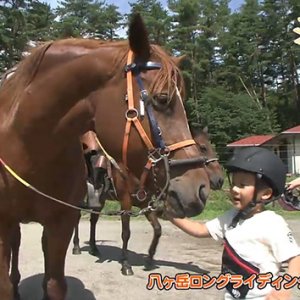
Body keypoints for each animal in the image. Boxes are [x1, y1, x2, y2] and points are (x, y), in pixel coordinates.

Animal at [72, 127, 223, 276]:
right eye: (202, 148)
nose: (220, 180)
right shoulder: (126, 202)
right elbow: (126, 233)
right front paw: (126, 264)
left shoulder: (144, 203)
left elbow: (157, 229)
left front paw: (150, 259)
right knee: (77, 217)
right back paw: (76, 247)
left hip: (100, 199)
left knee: (93, 220)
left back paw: (93, 248)